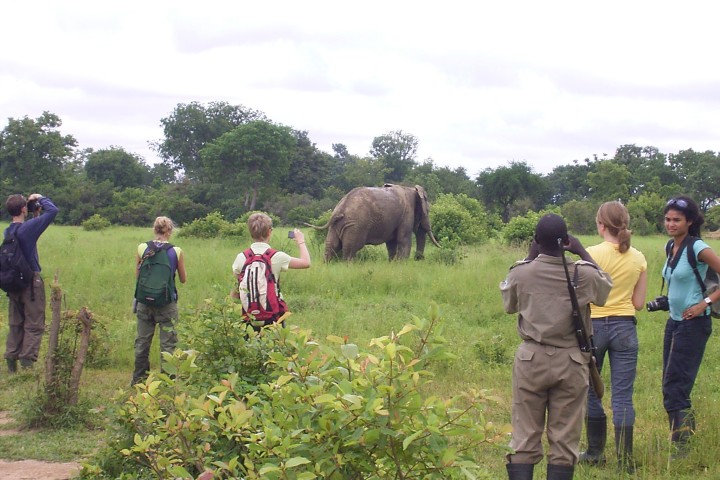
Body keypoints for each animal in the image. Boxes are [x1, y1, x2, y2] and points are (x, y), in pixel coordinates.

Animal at [306, 183, 442, 260]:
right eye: (428, 211)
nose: (419, 259)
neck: (411, 189)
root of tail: (339, 210)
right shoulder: (406, 215)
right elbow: (403, 241)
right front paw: (401, 265)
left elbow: (391, 244)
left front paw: (392, 264)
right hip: (356, 226)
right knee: (350, 250)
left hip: (337, 226)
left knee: (331, 247)